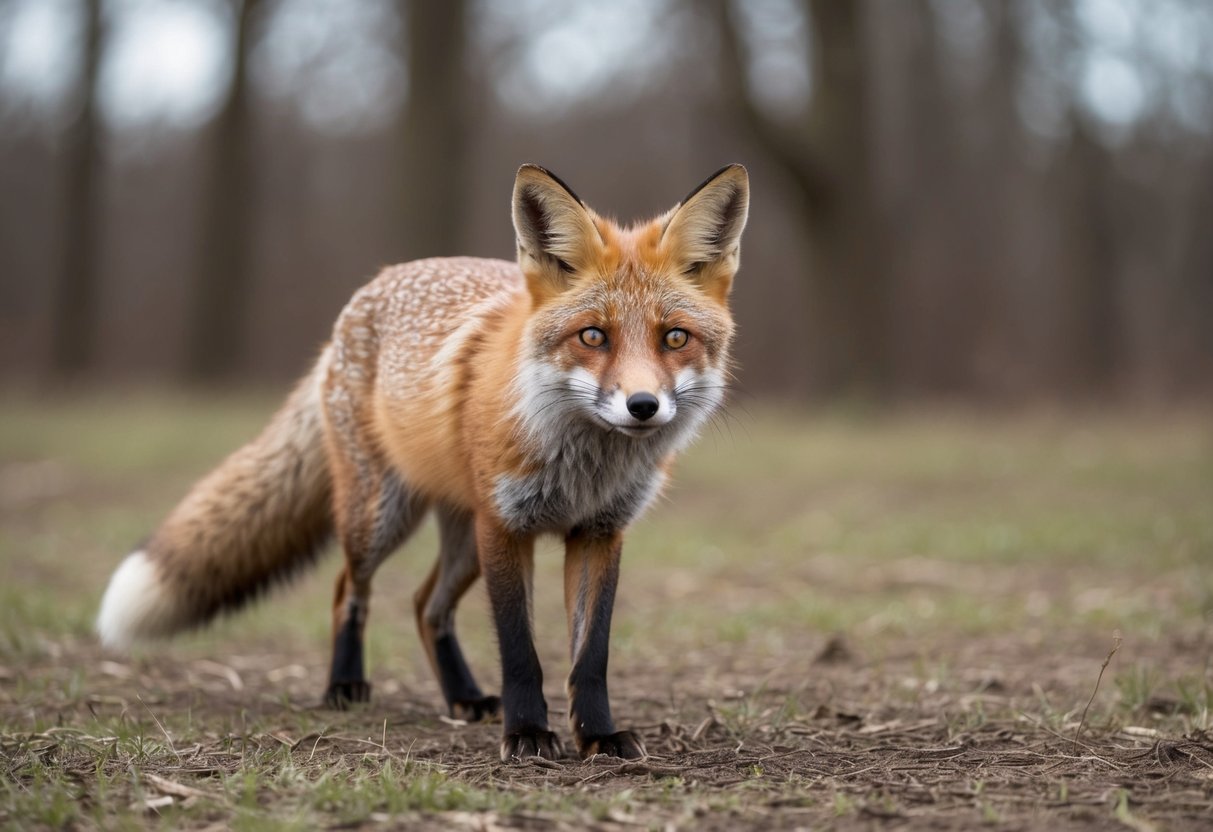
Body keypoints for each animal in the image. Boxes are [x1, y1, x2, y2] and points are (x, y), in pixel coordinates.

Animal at [97, 163, 749, 761]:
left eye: (674, 338)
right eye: (593, 337)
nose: (643, 406)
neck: (584, 467)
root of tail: (369, 290)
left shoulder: (600, 532)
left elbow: (590, 656)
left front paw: (598, 736)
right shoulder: (505, 526)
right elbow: (520, 650)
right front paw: (527, 733)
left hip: (463, 540)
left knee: (424, 604)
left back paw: (463, 697)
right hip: (382, 517)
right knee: (348, 588)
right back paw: (345, 684)